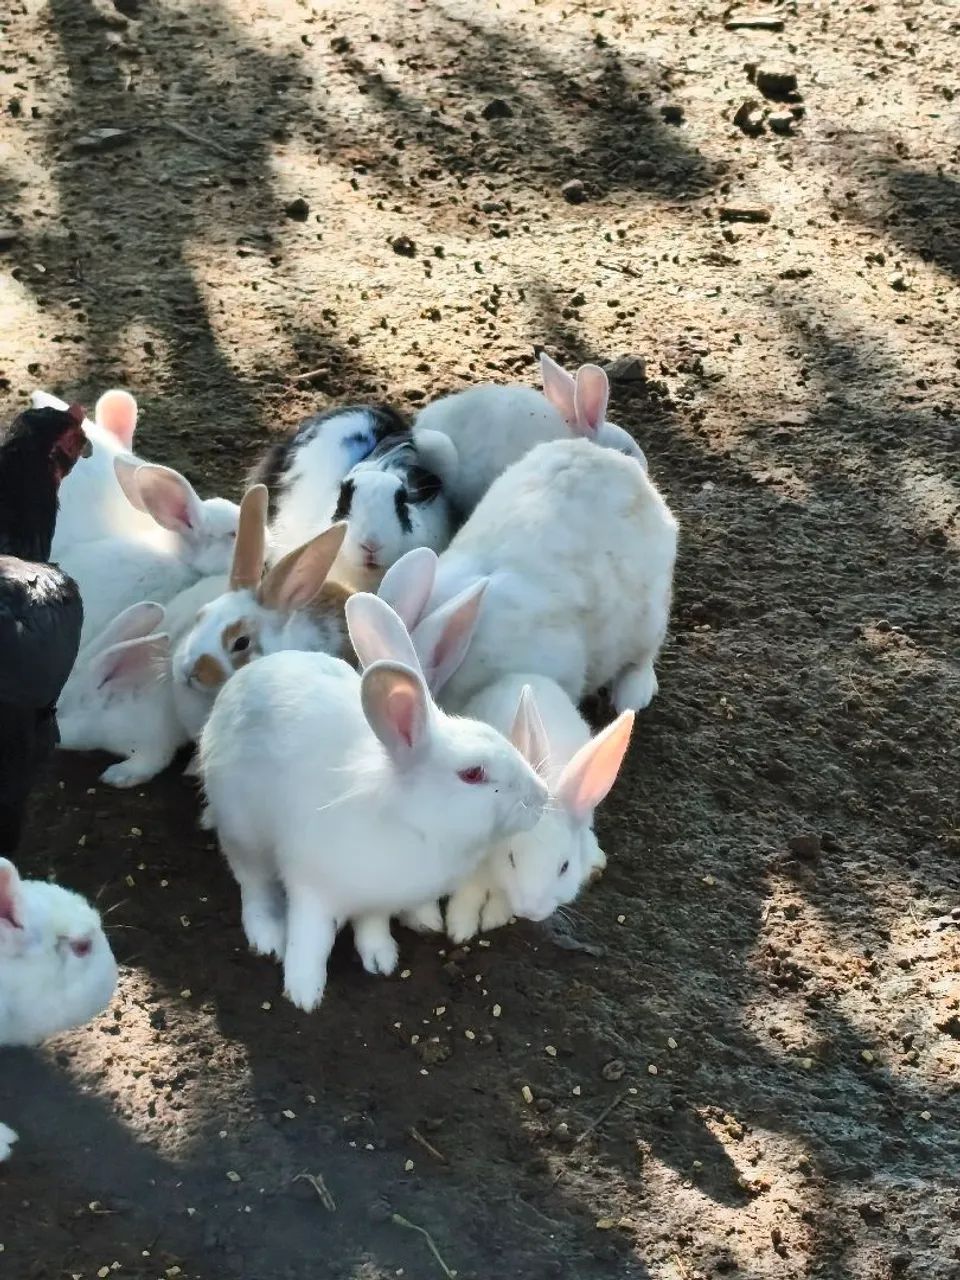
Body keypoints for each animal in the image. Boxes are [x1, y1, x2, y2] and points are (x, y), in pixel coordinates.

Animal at [198, 592, 548, 1012]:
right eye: (473, 774)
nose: (542, 796)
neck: (415, 822)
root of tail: (235, 686)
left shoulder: (379, 900)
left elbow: (372, 925)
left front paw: (381, 958)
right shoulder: (312, 889)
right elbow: (310, 939)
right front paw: (304, 992)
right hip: (243, 833)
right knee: (253, 884)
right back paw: (267, 935)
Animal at [345, 595, 634, 941]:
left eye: (564, 867)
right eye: (512, 859)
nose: (530, 910)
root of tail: (527, 674)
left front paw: (495, 916)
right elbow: (466, 896)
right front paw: (460, 928)